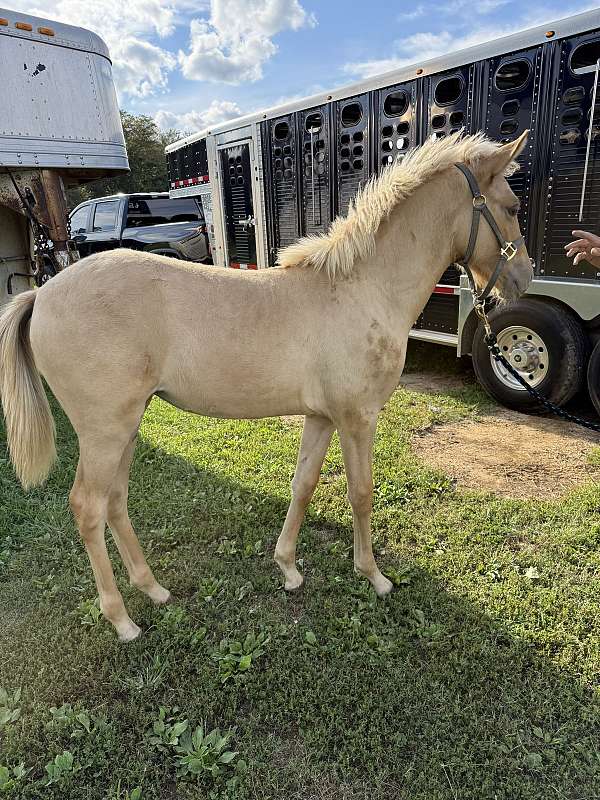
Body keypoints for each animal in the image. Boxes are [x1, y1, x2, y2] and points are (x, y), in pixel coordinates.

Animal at [0, 131, 533, 641]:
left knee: (115, 500)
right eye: (511, 207)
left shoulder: (321, 416)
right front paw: (374, 576)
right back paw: (122, 621)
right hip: (105, 432)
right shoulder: (357, 418)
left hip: (126, 427)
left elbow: (304, 484)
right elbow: (361, 492)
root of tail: (42, 294)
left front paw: (289, 568)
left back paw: (153, 589)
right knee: (88, 508)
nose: (523, 280)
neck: (363, 287)